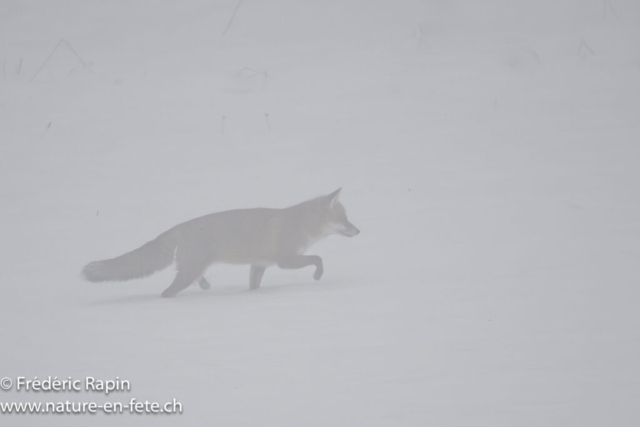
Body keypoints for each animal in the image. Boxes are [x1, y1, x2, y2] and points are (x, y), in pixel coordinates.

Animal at [82, 188, 359, 297]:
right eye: (344, 219)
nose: (359, 230)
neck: (300, 224)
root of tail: (180, 227)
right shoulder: (285, 260)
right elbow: (318, 259)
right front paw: (317, 276)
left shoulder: (259, 265)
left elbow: (253, 287)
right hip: (189, 272)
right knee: (167, 292)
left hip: (192, 268)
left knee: (192, 280)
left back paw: (205, 285)